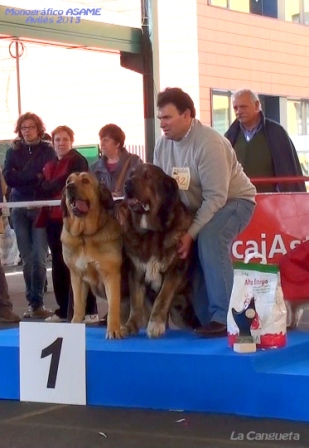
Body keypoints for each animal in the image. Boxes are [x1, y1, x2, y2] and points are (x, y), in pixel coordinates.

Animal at [60, 172, 122, 340]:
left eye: (85, 181)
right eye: (68, 181)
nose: (69, 187)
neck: (84, 236)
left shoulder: (111, 275)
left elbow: (114, 306)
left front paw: (114, 329)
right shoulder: (77, 277)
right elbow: (78, 306)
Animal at [119, 163, 199, 338]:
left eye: (147, 176)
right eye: (131, 174)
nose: (127, 183)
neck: (151, 233)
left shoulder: (174, 271)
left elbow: (162, 298)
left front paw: (156, 324)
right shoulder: (135, 272)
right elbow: (135, 303)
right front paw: (130, 326)